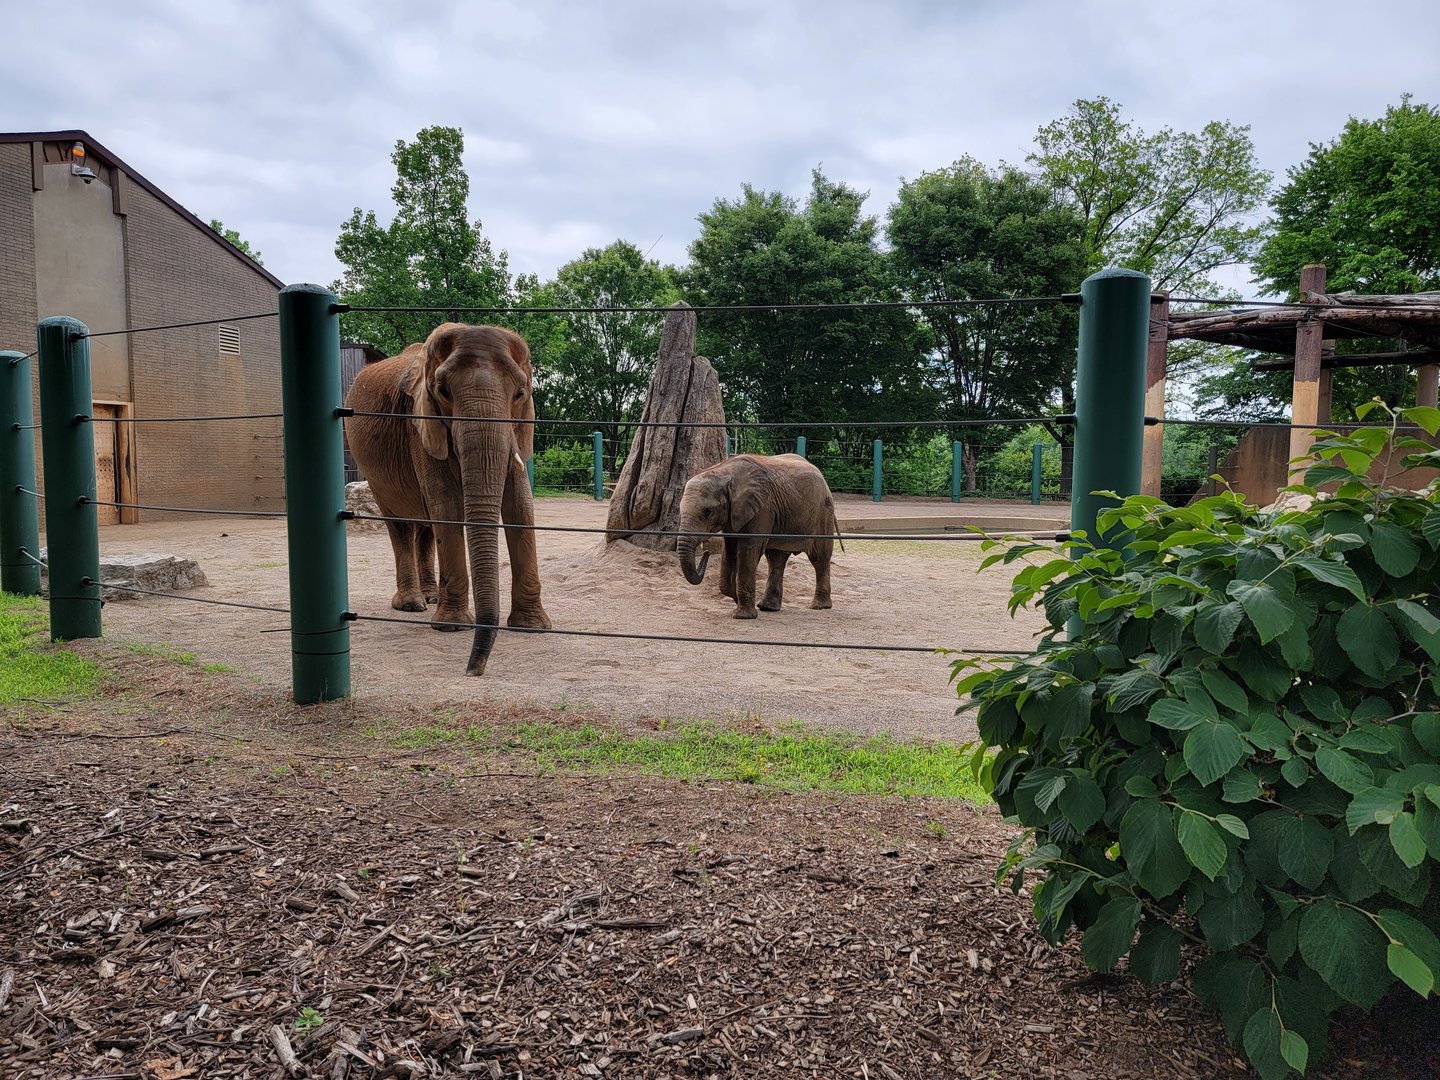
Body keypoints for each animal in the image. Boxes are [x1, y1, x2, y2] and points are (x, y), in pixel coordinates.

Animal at [345, 323, 550, 675]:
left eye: (520, 394)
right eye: (443, 392)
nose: (473, 670)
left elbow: (521, 505)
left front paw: (533, 627)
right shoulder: (421, 423)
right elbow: (447, 504)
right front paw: (452, 626)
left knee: (427, 526)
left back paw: (430, 598)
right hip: (374, 473)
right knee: (400, 525)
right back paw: (412, 604)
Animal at [677, 454, 838, 619]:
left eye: (707, 512)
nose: (706, 552)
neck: (723, 471)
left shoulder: (762, 509)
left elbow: (748, 550)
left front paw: (743, 616)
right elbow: (729, 550)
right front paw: (737, 599)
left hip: (823, 513)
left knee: (819, 558)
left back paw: (819, 606)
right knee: (776, 560)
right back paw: (768, 607)